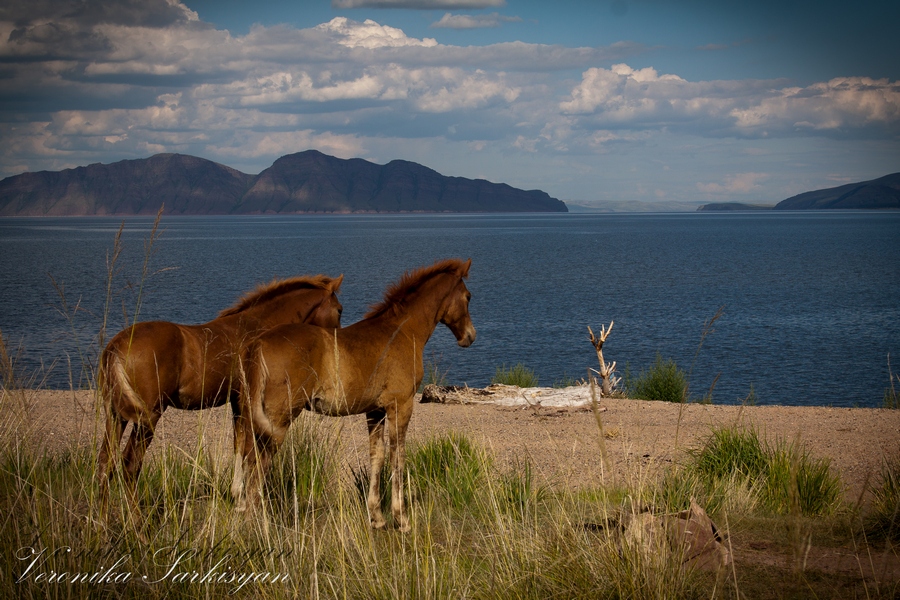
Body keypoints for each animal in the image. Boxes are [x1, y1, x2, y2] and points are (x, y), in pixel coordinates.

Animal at [234, 258, 478, 528]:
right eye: (468, 296)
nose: (470, 336)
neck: (401, 331)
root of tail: (258, 344)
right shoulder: (401, 404)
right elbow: (398, 456)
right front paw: (401, 517)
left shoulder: (375, 411)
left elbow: (377, 456)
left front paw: (377, 516)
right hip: (279, 417)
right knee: (259, 462)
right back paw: (258, 521)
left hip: (252, 416)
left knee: (247, 455)